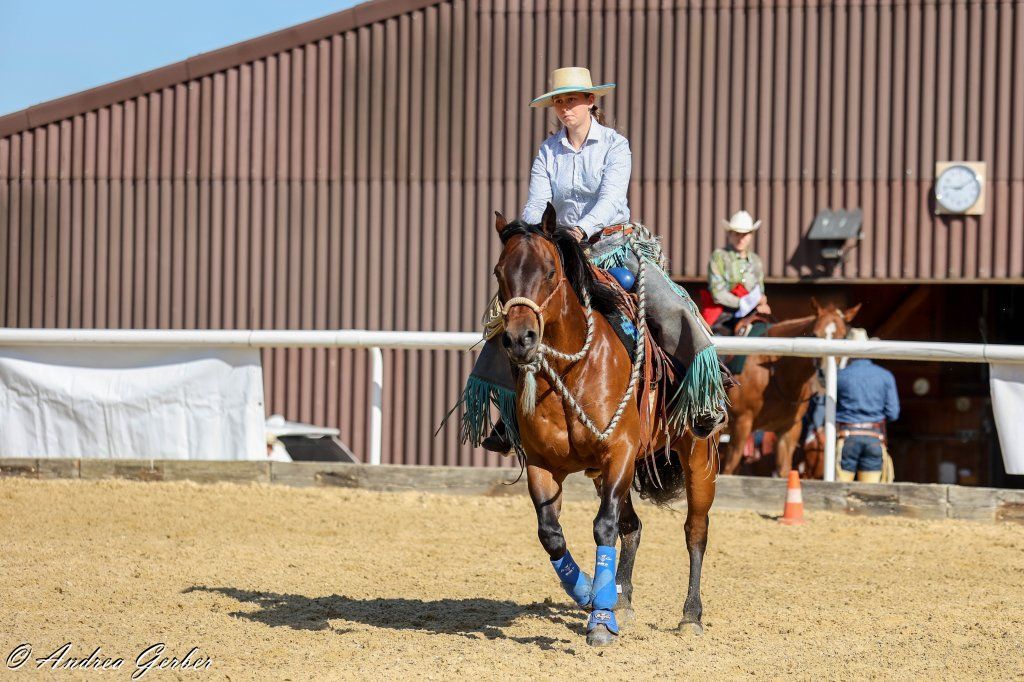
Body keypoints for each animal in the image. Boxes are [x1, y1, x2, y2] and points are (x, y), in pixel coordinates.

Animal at [492, 204, 716, 647]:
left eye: (549, 271)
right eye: (498, 272)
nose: (520, 339)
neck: (573, 371)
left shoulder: (620, 453)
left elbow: (603, 527)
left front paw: (600, 620)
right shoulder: (544, 465)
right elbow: (552, 534)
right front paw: (588, 594)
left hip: (699, 458)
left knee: (694, 531)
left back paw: (690, 616)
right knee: (633, 526)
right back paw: (621, 599)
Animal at [721, 300, 860, 477]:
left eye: (842, 337)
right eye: (815, 335)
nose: (823, 374)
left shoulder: (789, 430)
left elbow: (784, 471)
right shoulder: (741, 423)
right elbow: (728, 470)